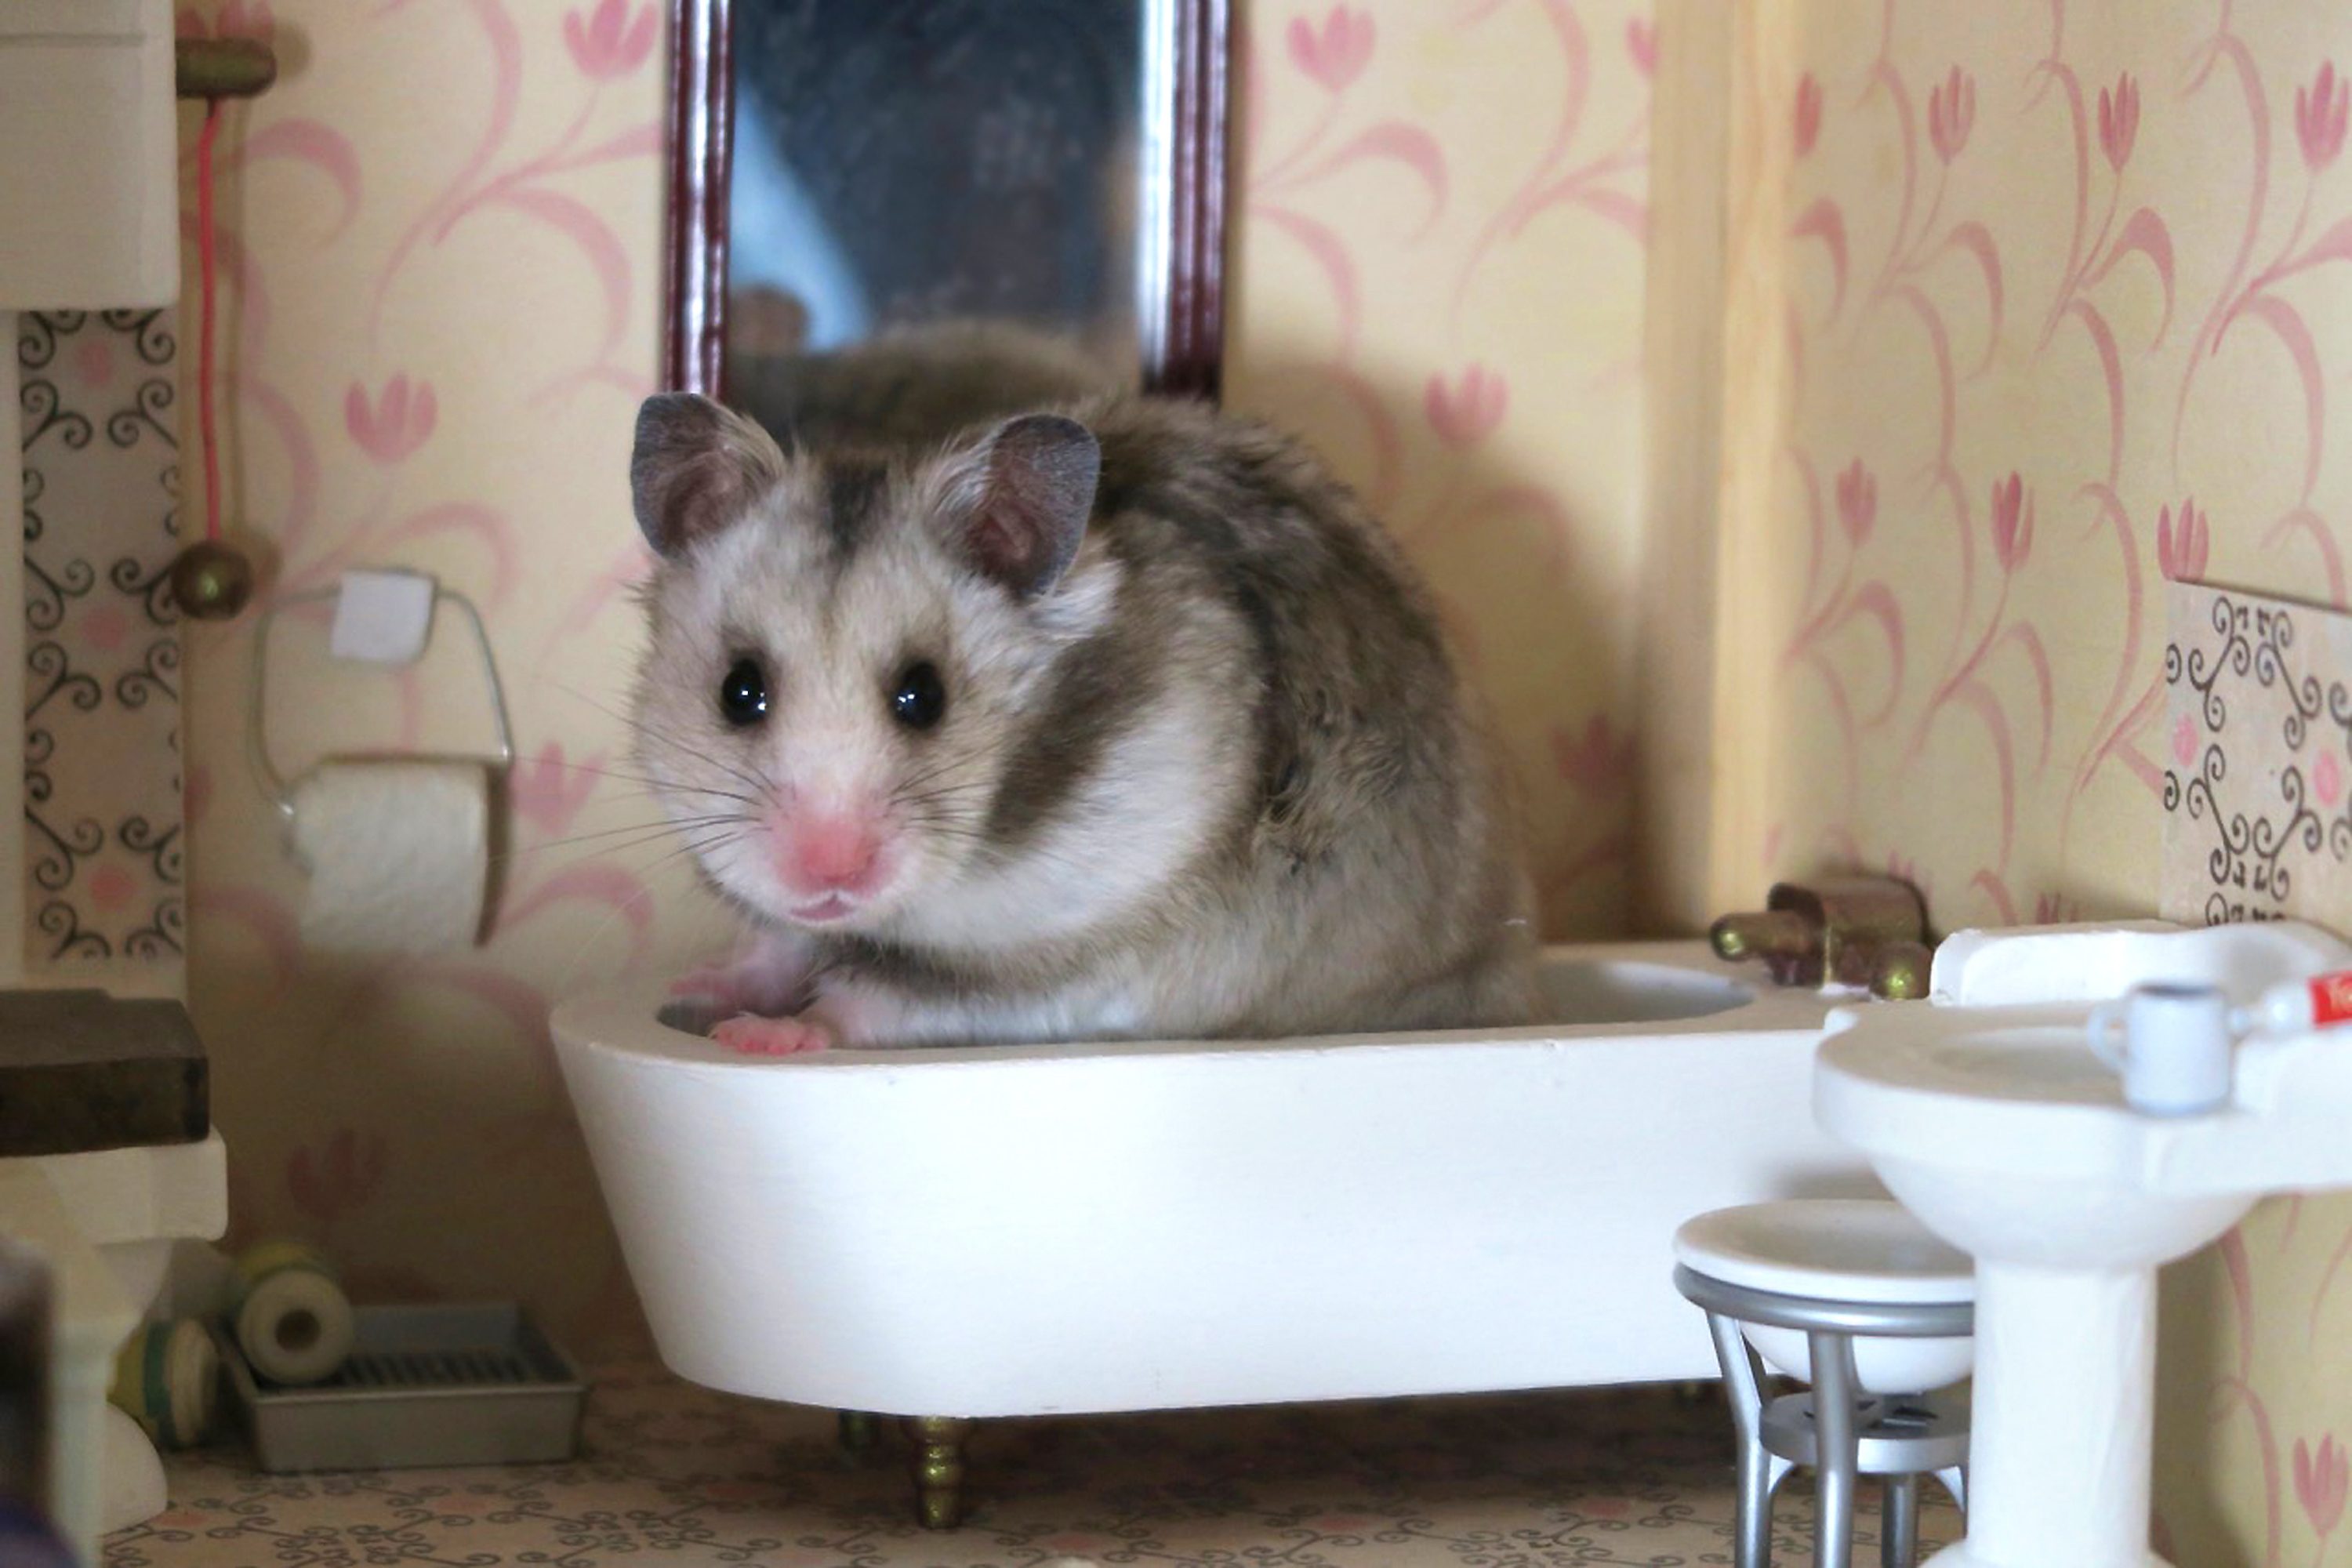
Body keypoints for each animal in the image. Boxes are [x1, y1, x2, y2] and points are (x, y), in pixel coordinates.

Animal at [628, 389, 1538, 1052]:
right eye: (739, 691)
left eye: (924, 695)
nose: (829, 875)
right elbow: (779, 945)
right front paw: (695, 990)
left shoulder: (1072, 966)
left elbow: (876, 1003)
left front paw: (759, 1036)